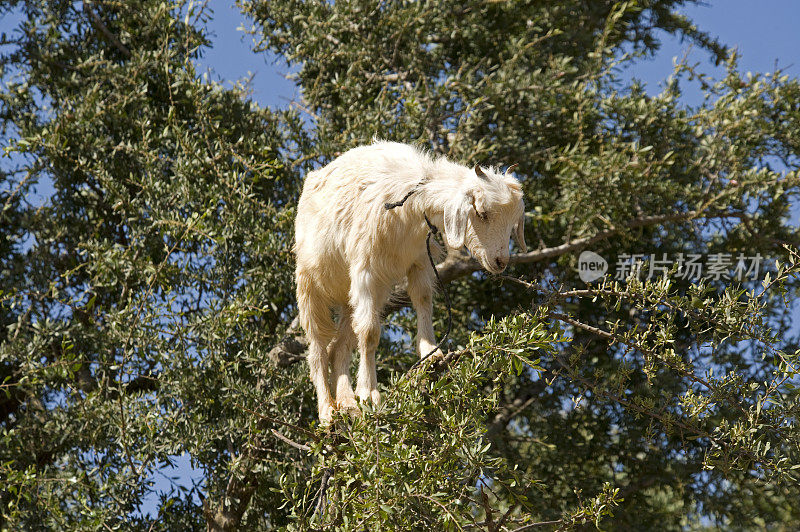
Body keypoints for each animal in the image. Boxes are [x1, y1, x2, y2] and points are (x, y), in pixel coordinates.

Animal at [294, 139, 524, 422]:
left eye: (513, 222)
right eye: (481, 213)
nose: (501, 261)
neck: (408, 206)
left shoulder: (419, 260)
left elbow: (423, 299)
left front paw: (431, 353)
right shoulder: (365, 269)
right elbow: (369, 333)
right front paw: (369, 394)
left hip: (348, 296)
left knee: (340, 346)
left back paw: (347, 404)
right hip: (309, 284)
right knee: (318, 349)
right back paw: (327, 411)